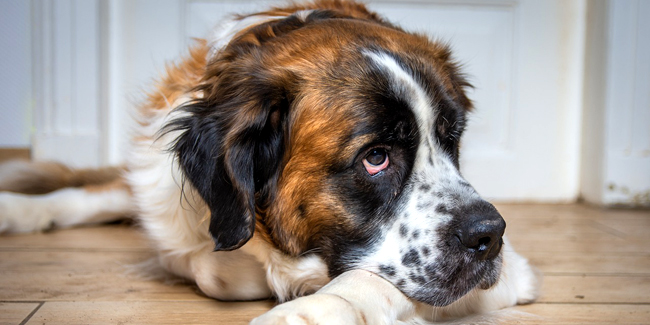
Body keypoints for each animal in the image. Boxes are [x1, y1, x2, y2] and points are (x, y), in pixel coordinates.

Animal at [0, 1, 536, 322]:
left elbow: (361, 279)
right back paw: (16, 209)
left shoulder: (511, 273)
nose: (490, 235)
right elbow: (211, 265)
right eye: (376, 158)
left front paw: (303, 307)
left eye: (451, 140)